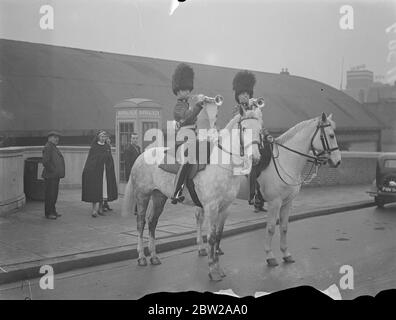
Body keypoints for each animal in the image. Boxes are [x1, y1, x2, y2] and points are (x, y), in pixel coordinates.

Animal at [122, 106, 264, 278]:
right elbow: (211, 237)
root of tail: (141, 155)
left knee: (152, 222)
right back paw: (142, 256)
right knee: (141, 223)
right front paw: (212, 270)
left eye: (260, 130)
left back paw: (154, 256)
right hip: (142, 196)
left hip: (159, 197)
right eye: (244, 129)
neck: (223, 165)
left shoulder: (225, 208)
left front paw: (217, 267)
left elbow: (218, 236)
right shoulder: (211, 207)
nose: (255, 157)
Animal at [256, 112, 340, 268]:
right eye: (331, 135)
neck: (285, 160)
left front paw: (286, 254)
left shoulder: (287, 202)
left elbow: (284, 227)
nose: (338, 161)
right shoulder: (274, 202)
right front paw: (270, 256)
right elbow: (271, 228)